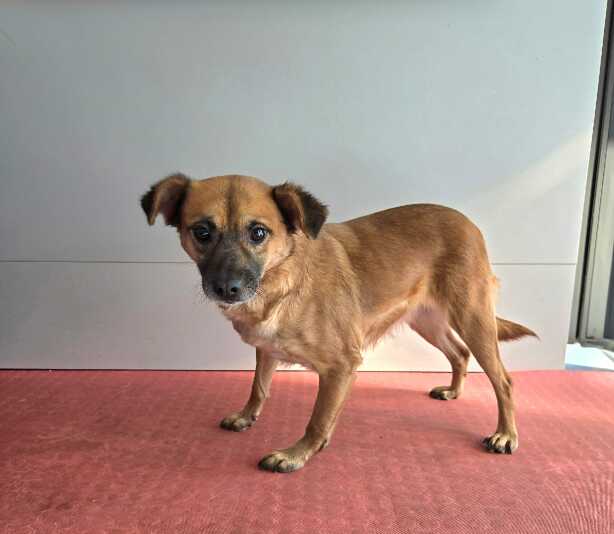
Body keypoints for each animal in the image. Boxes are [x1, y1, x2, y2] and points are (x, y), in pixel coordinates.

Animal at [141, 173, 537, 473]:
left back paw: (505, 435)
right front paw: (246, 416)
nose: (226, 288)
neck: (282, 279)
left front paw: (297, 454)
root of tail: (467, 221)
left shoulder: (342, 366)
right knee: (459, 353)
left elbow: (318, 418)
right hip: (427, 321)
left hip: (473, 317)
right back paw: (453, 391)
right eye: (202, 232)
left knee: (503, 381)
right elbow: (259, 388)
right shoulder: (267, 350)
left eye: (258, 233)